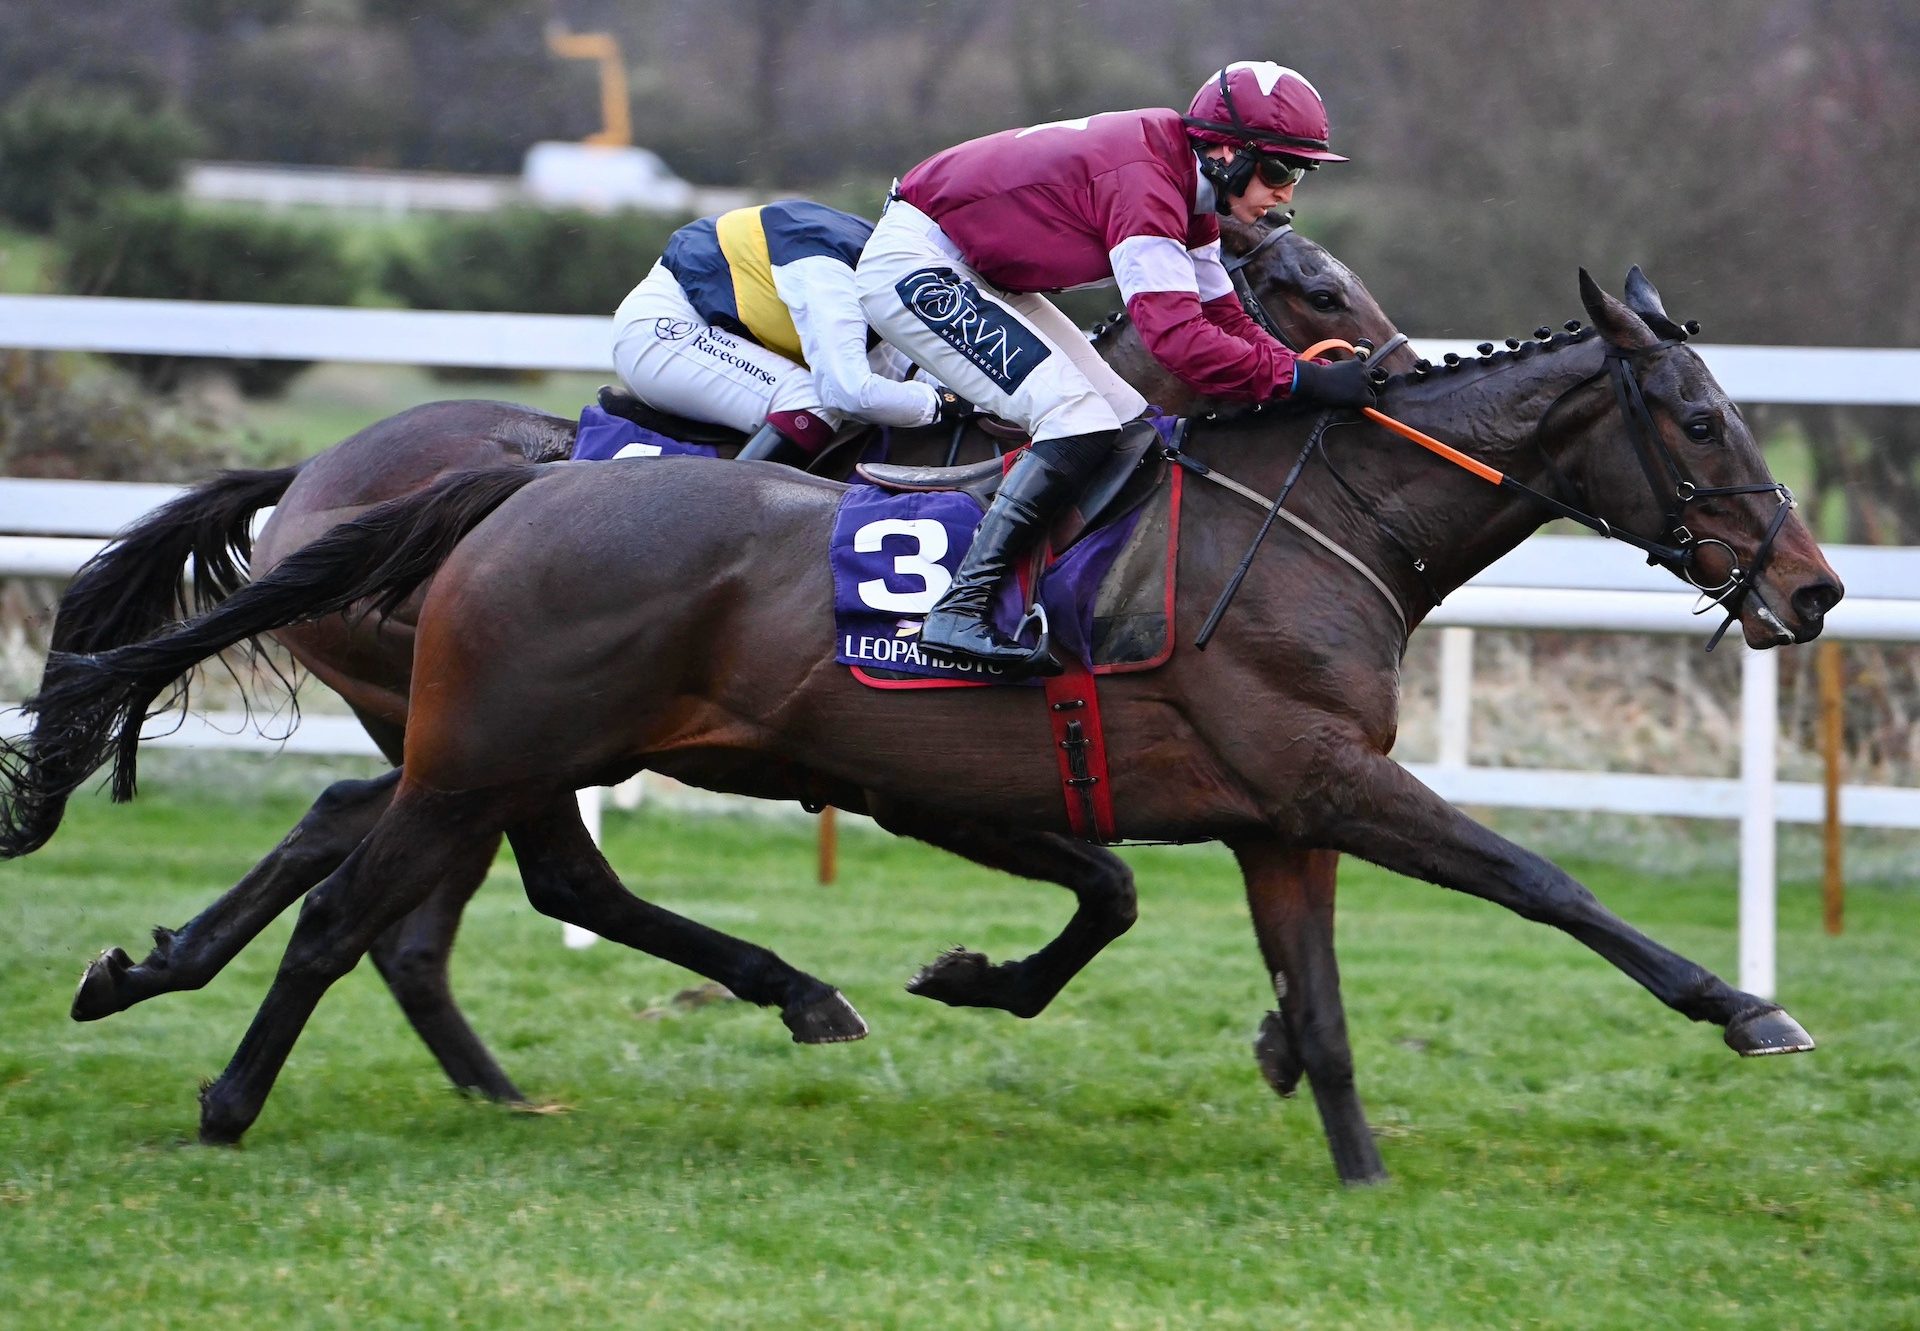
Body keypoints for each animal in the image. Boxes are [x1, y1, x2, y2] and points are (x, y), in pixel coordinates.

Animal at [7, 266, 1850, 1175]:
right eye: (1696, 417)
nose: (1818, 586)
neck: (1313, 520)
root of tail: (484, 486)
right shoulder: (1320, 775)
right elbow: (1542, 881)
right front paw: (1747, 1007)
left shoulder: (1267, 808)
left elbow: (1236, 956)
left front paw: (1330, 1135)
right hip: (491, 742)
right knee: (383, 905)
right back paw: (235, 1093)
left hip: (483, 744)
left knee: (389, 870)